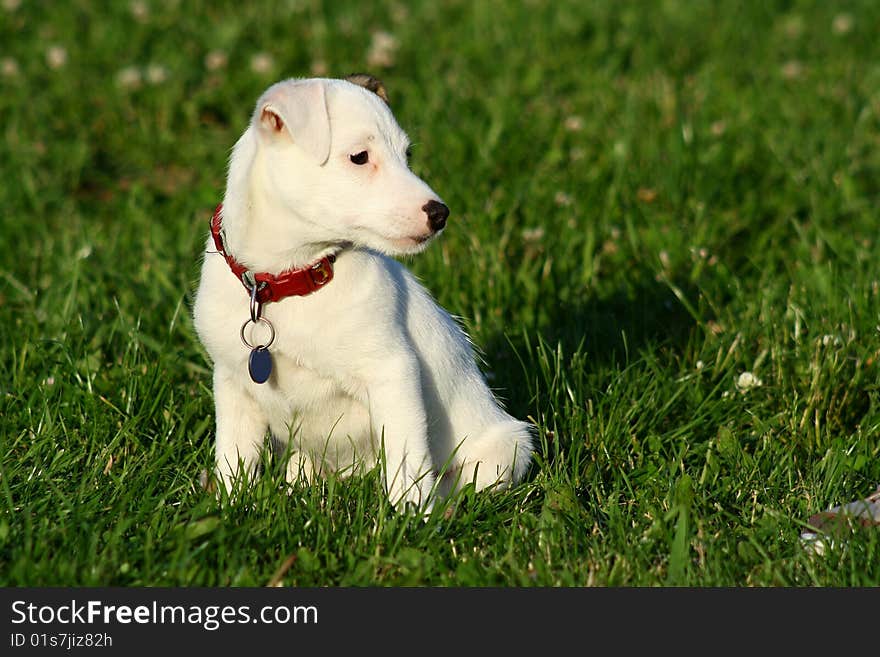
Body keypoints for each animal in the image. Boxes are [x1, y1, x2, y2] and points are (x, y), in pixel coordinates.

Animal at [193, 74, 532, 510]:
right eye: (359, 157)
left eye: (407, 155)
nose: (440, 214)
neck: (285, 284)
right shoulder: (234, 385)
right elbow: (234, 459)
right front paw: (229, 508)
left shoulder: (393, 373)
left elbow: (405, 463)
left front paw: (409, 517)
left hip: (505, 449)